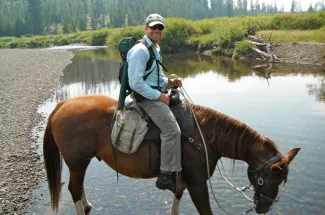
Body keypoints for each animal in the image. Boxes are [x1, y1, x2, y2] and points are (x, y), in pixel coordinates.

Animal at [42, 95, 298, 215]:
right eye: (267, 179)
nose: (265, 208)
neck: (204, 135)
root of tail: (63, 104)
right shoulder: (197, 182)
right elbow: (205, 209)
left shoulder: (182, 177)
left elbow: (176, 195)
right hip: (77, 162)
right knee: (74, 188)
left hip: (79, 163)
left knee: (78, 188)